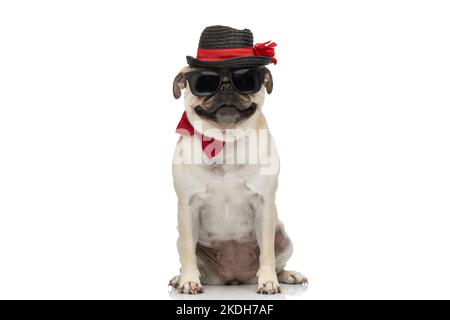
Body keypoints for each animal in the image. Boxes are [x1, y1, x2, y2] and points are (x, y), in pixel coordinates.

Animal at [167, 25, 308, 296]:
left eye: (246, 80)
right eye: (204, 82)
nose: (225, 86)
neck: (224, 142)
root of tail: (235, 278)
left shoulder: (264, 207)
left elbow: (267, 253)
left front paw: (268, 281)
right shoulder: (187, 209)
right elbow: (188, 252)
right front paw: (189, 280)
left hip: (283, 235)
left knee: (278, 261)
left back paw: (287, 276)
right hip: (180, 240)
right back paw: (180, 278)